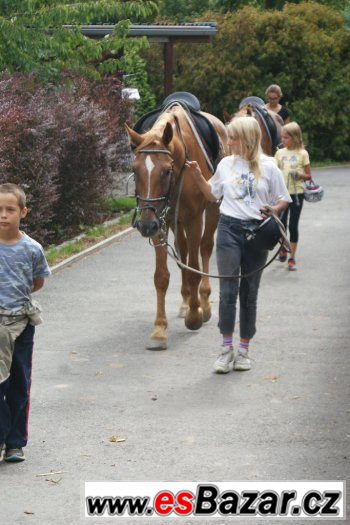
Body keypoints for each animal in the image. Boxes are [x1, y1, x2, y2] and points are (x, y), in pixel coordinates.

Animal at [124, 102, 228, 348]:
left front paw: (195, 315)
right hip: (172, 221)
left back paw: (203, 303)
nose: (144, 225)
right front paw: (159, 329)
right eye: (135, 170)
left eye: (166, 171)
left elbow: (194, 269)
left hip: (211, 210)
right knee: (182, 252)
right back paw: (186, 301)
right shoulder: (159, 223)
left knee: (204, 249)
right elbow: (162, 276)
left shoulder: (193, 220)